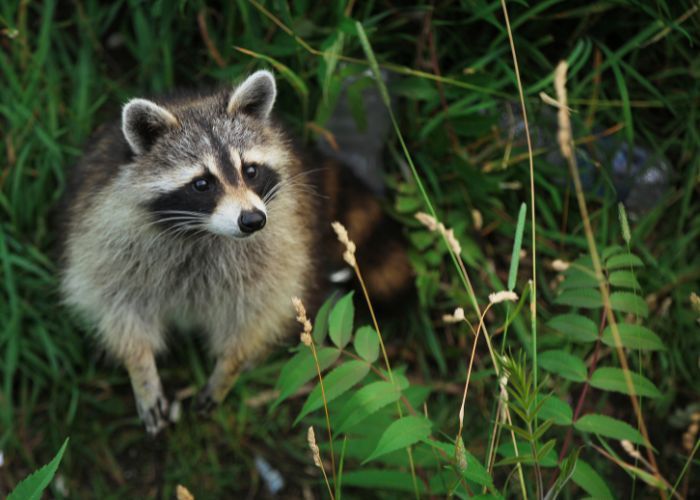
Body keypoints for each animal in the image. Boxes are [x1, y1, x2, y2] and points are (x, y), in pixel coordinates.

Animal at [60, 70, 412, 434]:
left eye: (250, 171)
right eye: (202, 184)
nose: (253, 220)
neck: (203, 231)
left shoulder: (279, 243)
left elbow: (257, 312)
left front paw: (230, 367)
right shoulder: (108, 237)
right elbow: (118, 306)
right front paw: (141, 371)